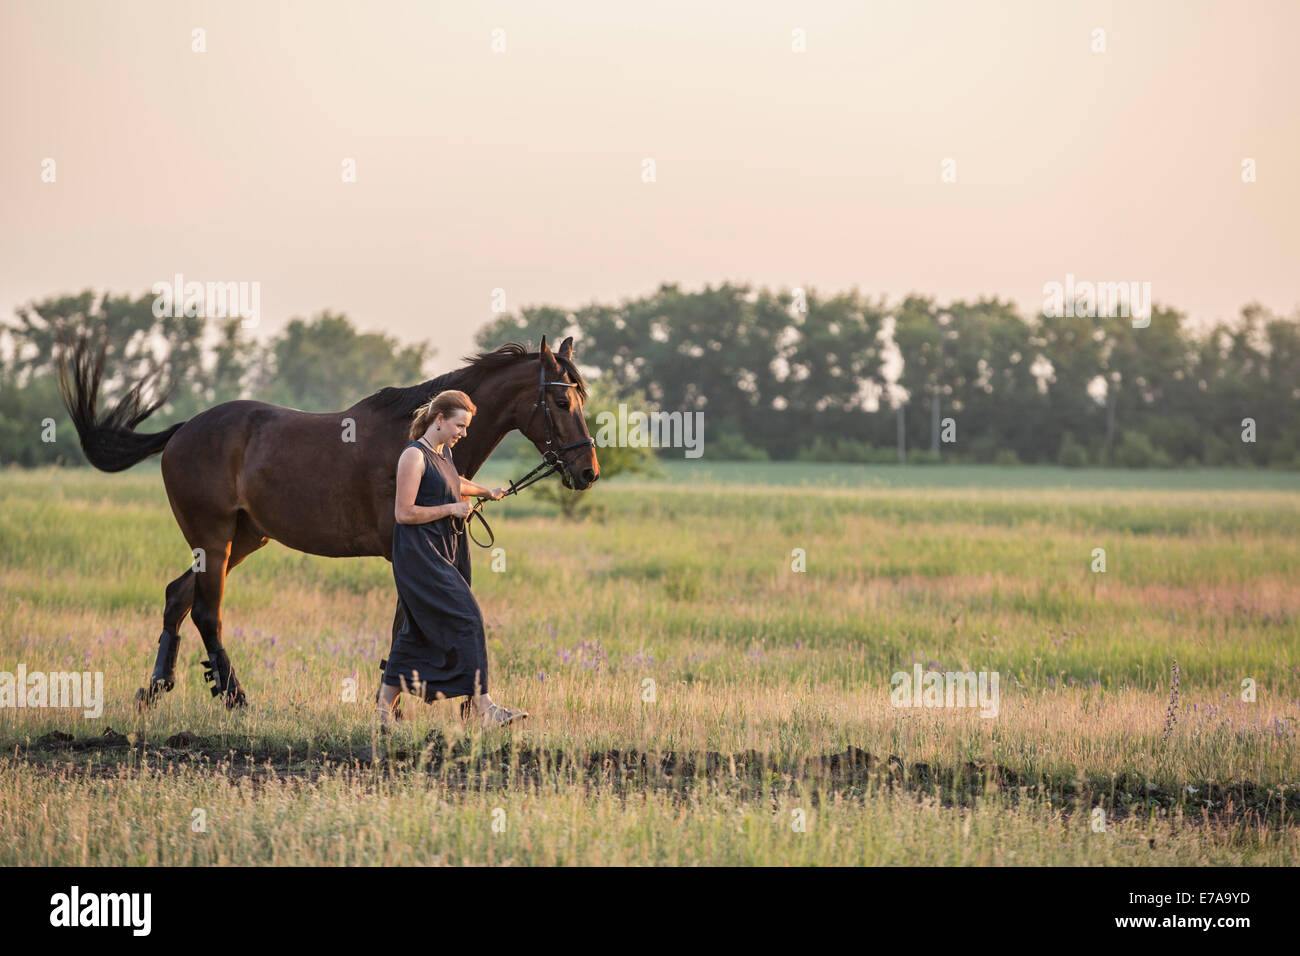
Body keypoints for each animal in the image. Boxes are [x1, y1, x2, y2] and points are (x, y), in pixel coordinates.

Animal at [56, 333, 599, 708]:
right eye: (559, 401)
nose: (588, 471)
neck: (412, 438)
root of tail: (183, 430)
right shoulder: (400, 549)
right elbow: (406, 623)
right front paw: (393, 700)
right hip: (213, 537)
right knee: (206, 612)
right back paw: (234, 697)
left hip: (243, 539)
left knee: (177, 597)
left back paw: (156, 688)